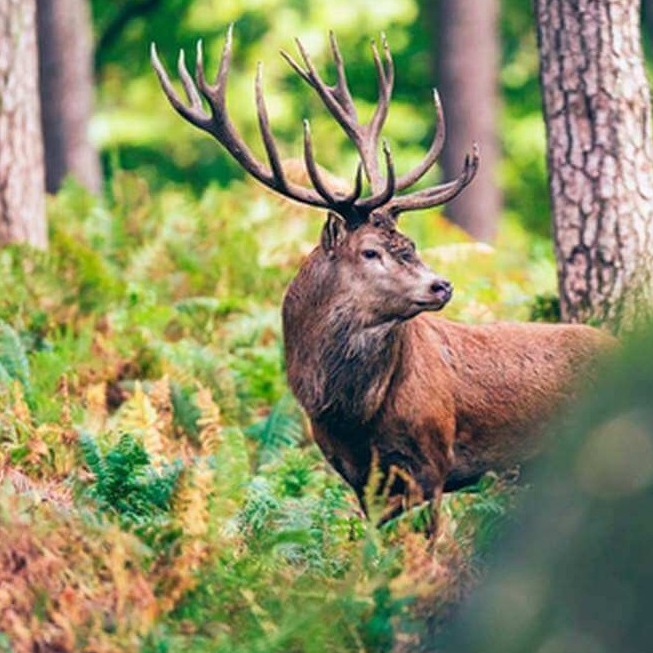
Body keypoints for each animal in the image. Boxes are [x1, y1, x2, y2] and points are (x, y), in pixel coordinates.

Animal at [151, 27, 616, 533]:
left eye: (410, 243)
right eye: (371, 251)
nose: (441, 285)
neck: (353, 416)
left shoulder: (432, 461)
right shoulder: (357, 476)